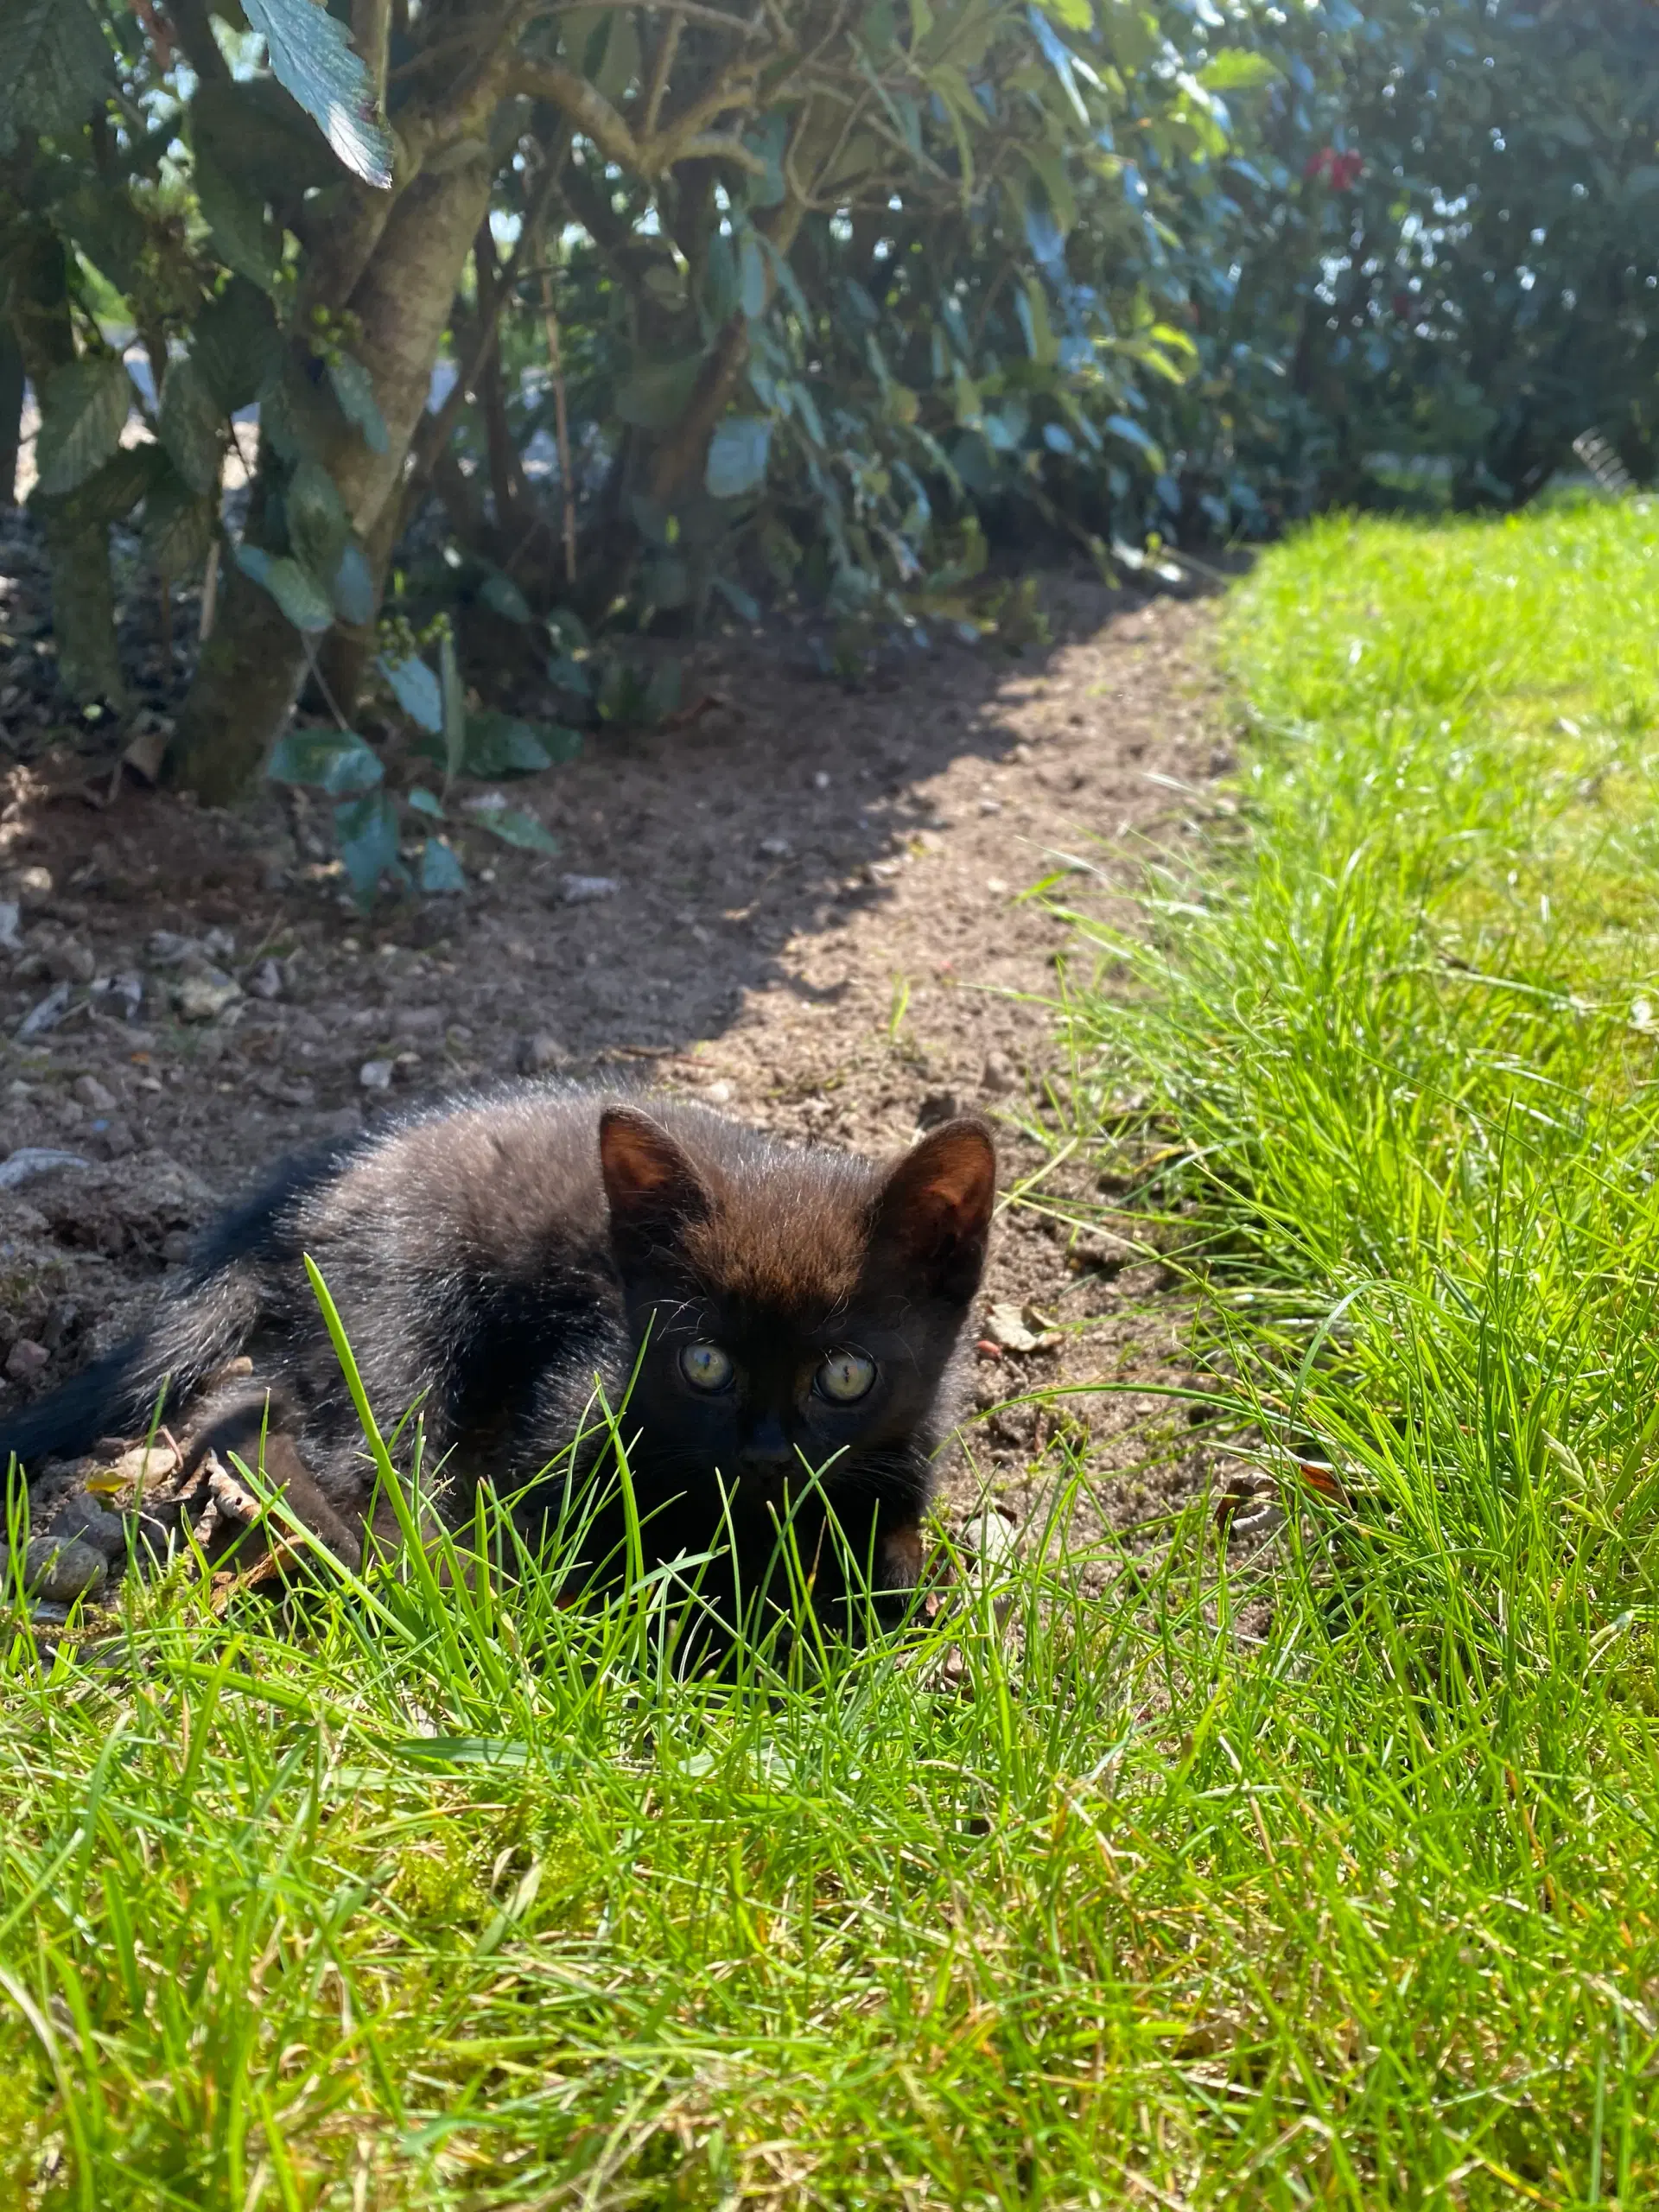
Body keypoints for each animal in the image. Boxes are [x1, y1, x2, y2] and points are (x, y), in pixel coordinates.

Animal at [3, 1092, 1000, 1637]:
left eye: (846, 1376)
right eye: (705, 1362)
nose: (764, 1454)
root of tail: (311, 1191)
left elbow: (895, 1553)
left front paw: (865, 1580)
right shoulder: (577, 1399)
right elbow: (574, 1536)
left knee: (247, 1406)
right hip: (398, 1302)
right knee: (347, 1456)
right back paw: (416, 1581)